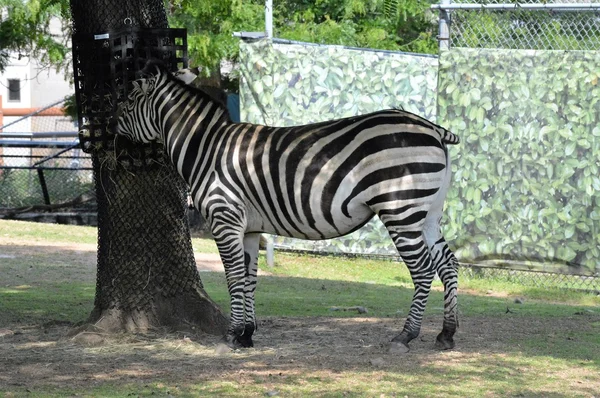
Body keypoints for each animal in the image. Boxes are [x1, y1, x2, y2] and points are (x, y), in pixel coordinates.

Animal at [118, 60, 464, 352]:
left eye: (129, 101)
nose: (114, 138)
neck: (206, 149)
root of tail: (432, 127)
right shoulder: (249, 228)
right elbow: (249, 278)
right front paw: (247, 334)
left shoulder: (224, 217)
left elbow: (233, 276)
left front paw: (232, 335)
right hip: (427, 212)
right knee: (447, 262)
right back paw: (446, 333)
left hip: (400, 209)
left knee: (423, 269)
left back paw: (406, 335)